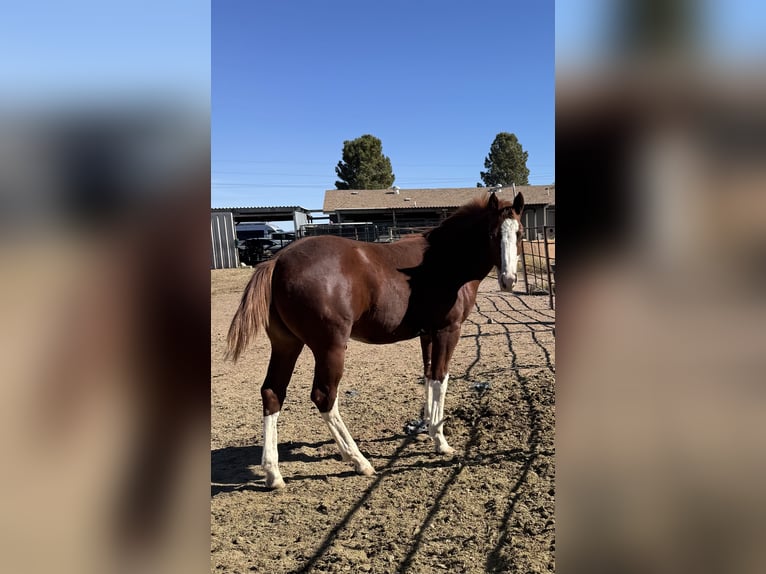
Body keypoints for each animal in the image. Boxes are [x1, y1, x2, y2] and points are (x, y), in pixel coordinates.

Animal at [226, 191, 524, 489]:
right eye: (492, 233)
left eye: (519, 233)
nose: (509, 280)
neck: (444, 260)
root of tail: (278, 261)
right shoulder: (446, 331)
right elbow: (441, 378)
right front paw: (441, 442)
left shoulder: (427, 334)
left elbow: (428, 376)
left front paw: (428, 430)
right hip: (330, 348)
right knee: (324, 397)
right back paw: (358, 460)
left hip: (286, 345)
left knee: (272, 393)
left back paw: (273, 473)